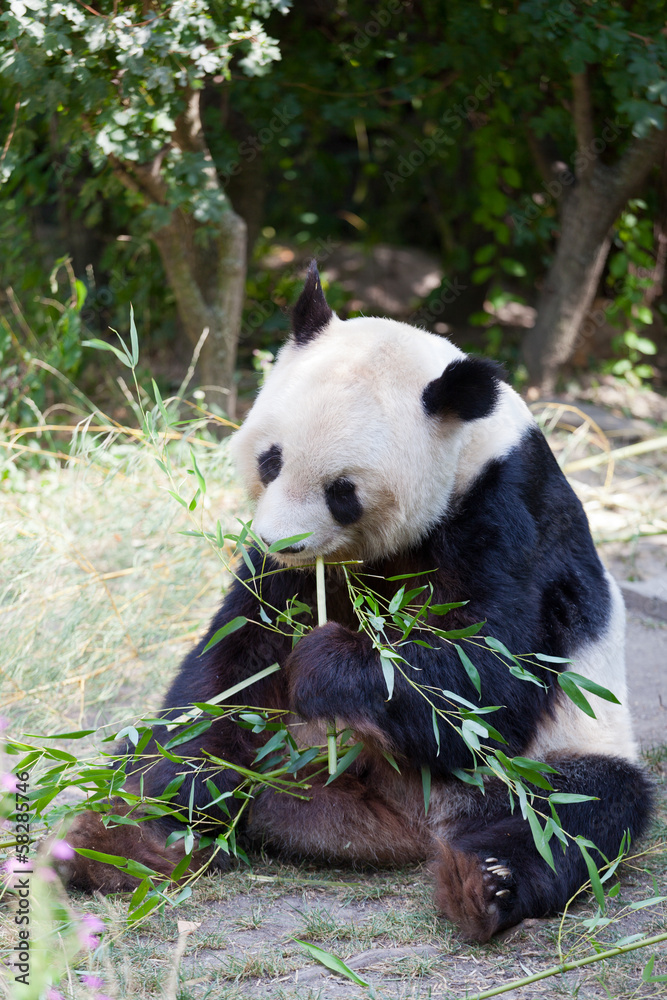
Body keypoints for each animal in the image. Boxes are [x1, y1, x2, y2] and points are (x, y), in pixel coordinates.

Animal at [62, 261, 652, 942]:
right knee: (167, 756)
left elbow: (488, 676)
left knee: (578, 812)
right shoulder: (281, 580)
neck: (468, 448)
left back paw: (483, 883)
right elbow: (231, 668)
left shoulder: (509, 512)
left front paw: (328, 662)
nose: (281, 542)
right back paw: (122, 843)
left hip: (557, 753)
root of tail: (407, 828)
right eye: (270, 460)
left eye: (342, 490)